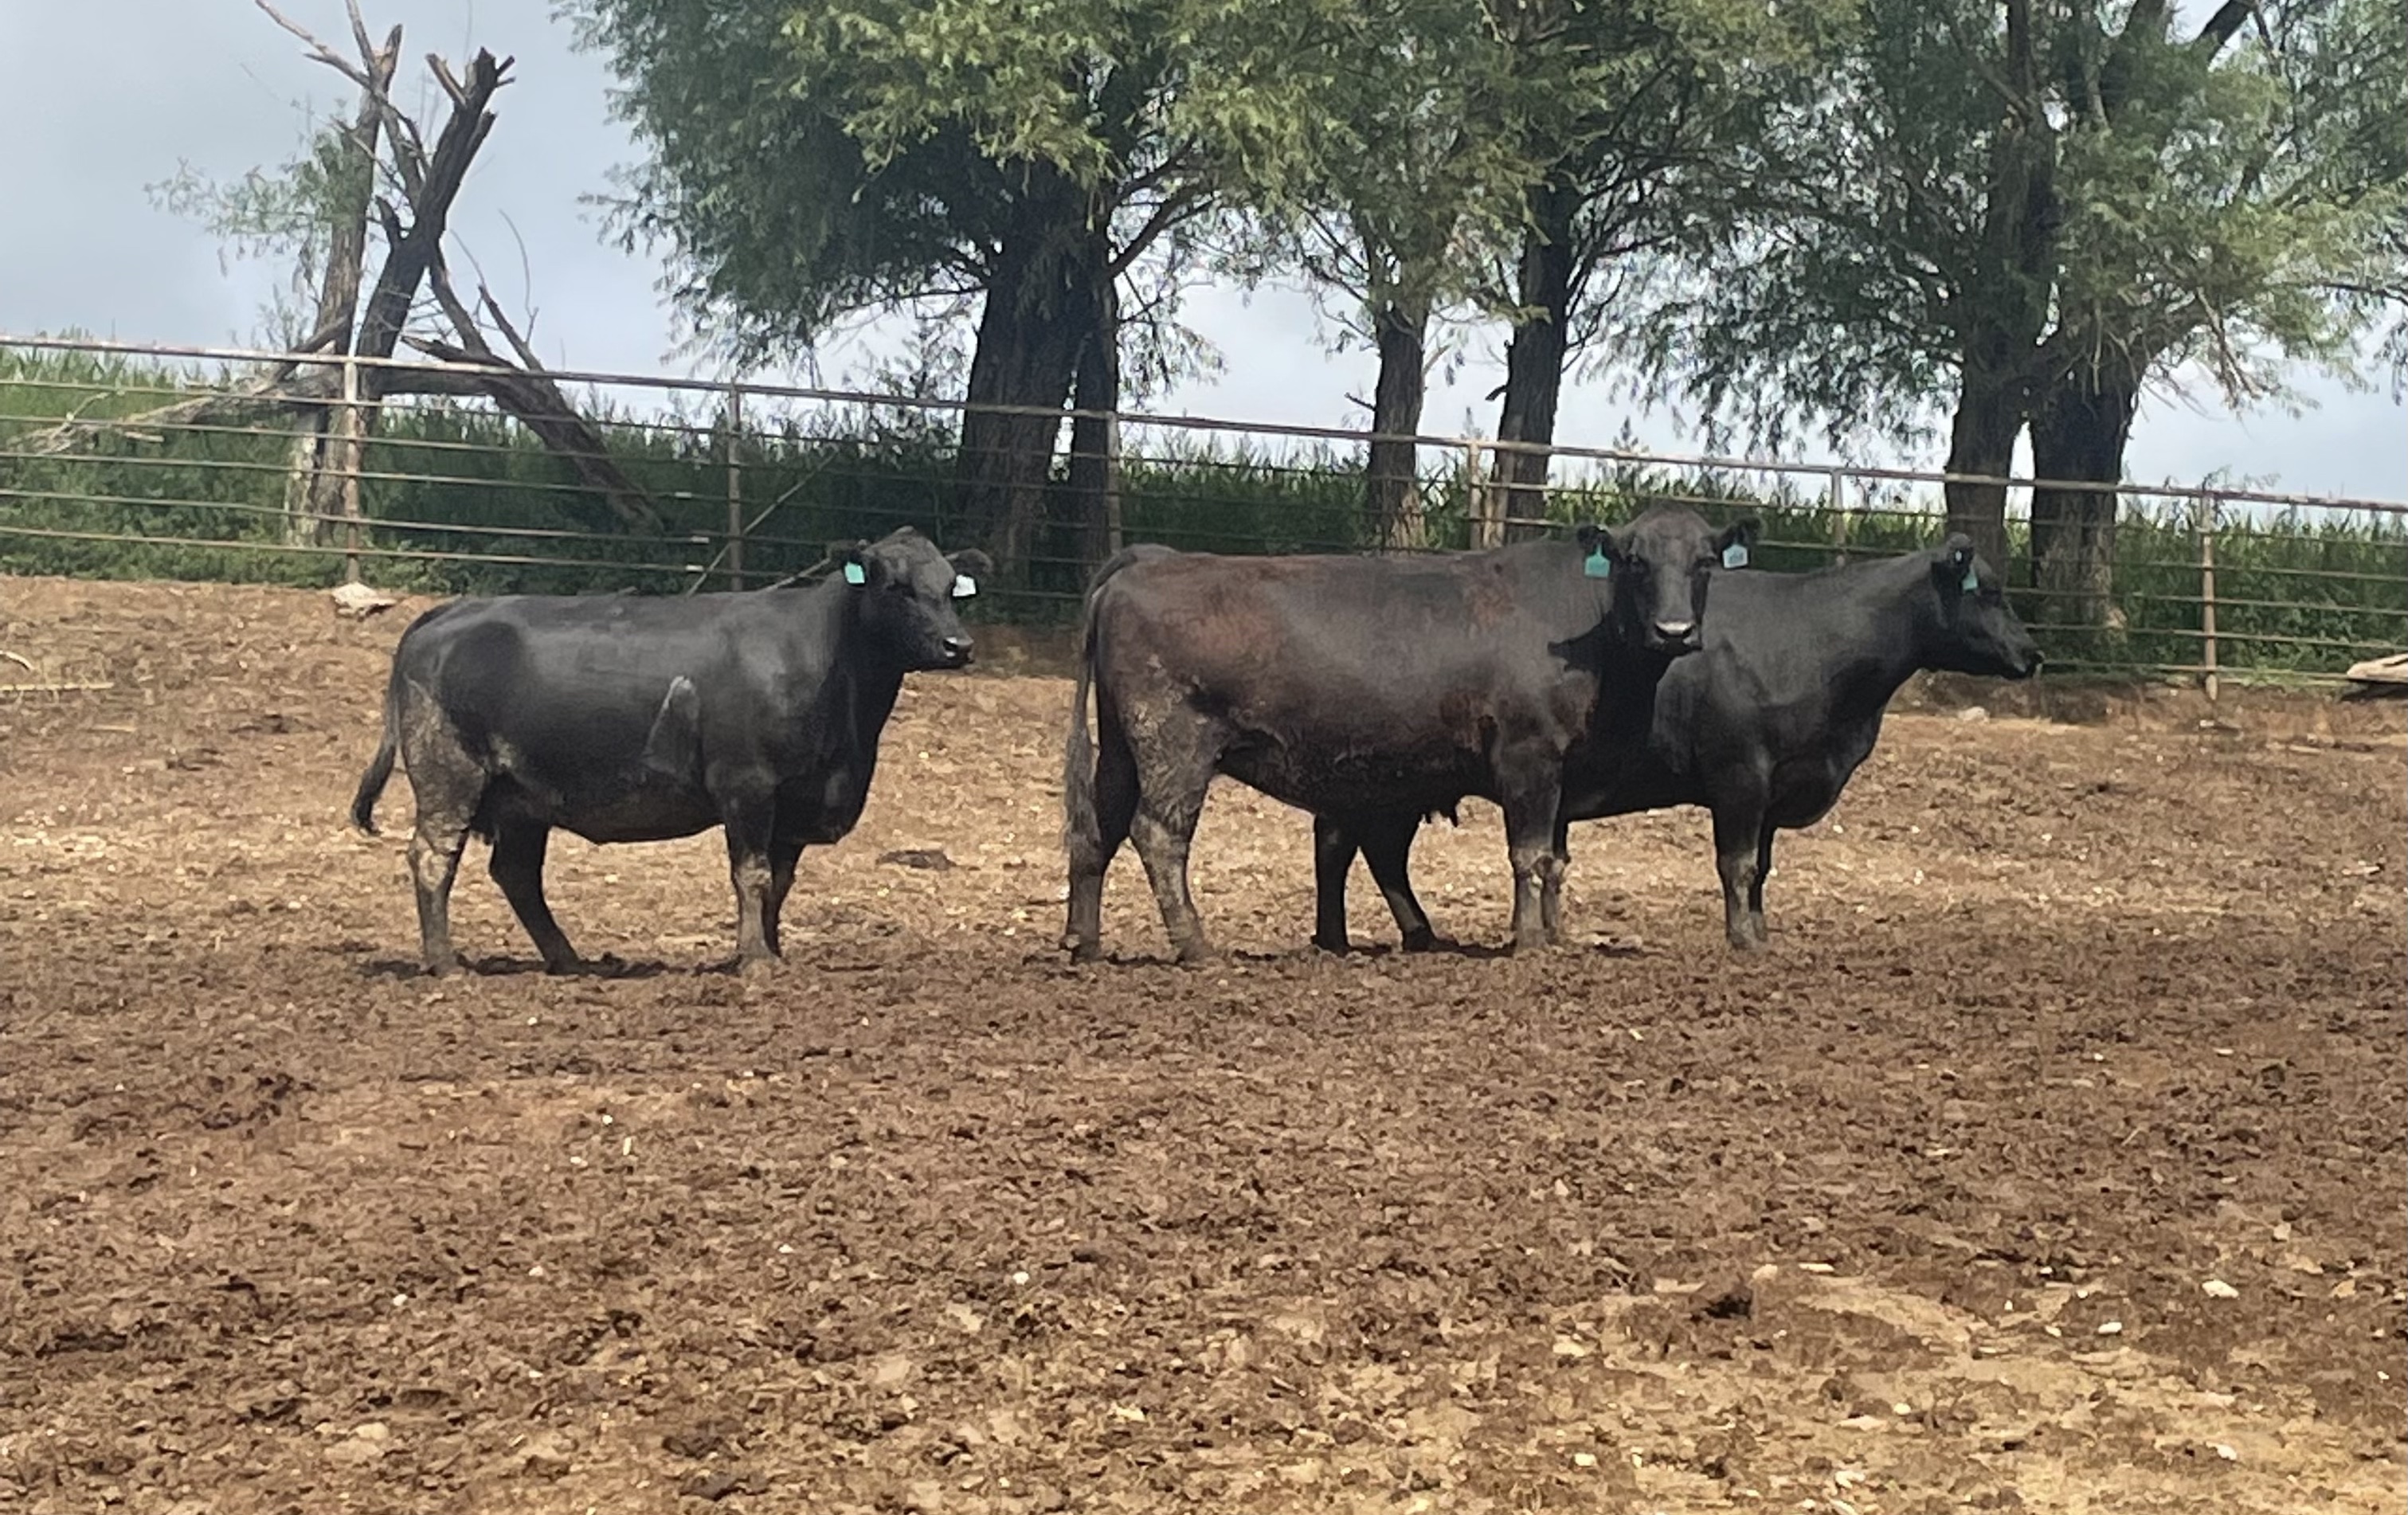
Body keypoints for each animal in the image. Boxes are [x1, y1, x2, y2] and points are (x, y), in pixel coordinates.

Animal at [348, 526, 993, 976]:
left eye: (949, 589)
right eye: (896, 586)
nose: (957, 645)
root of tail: (450, 613)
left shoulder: (793, 803)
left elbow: (780, 883)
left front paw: (773, 951)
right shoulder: (747, 786)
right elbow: (752, 875)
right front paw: (755, 960)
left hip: (522, 797)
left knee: (517, 874)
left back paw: (568, 959)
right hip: (449, 775)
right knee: (433, 858)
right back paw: (446, 963)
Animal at [1058, 506, 1760, 963]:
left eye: (1703, 562)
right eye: (1634, 561)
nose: (1674, 631)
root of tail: (1150, 560)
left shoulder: (1557, 771)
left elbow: (1553, 860)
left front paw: (1553, 935)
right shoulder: (1529, 757)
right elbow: (1530, 855)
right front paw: (1531, 942)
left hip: (1121, 748)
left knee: (1099, 830)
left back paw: (1083, 941)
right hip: (1174, 745)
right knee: (1158, 835)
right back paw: (1196, 945)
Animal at [1310, 533, 2042, 953]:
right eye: (1990, 592)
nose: (2032, 654)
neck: (1815, 640)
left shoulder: (1773, 785)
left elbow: (1762, 869)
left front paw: (1761, 934)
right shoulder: (1740, 773)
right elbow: (1736, 864)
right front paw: (1741, 941)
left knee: (1358, 848)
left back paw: (1377, 936)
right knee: (1358, 847)